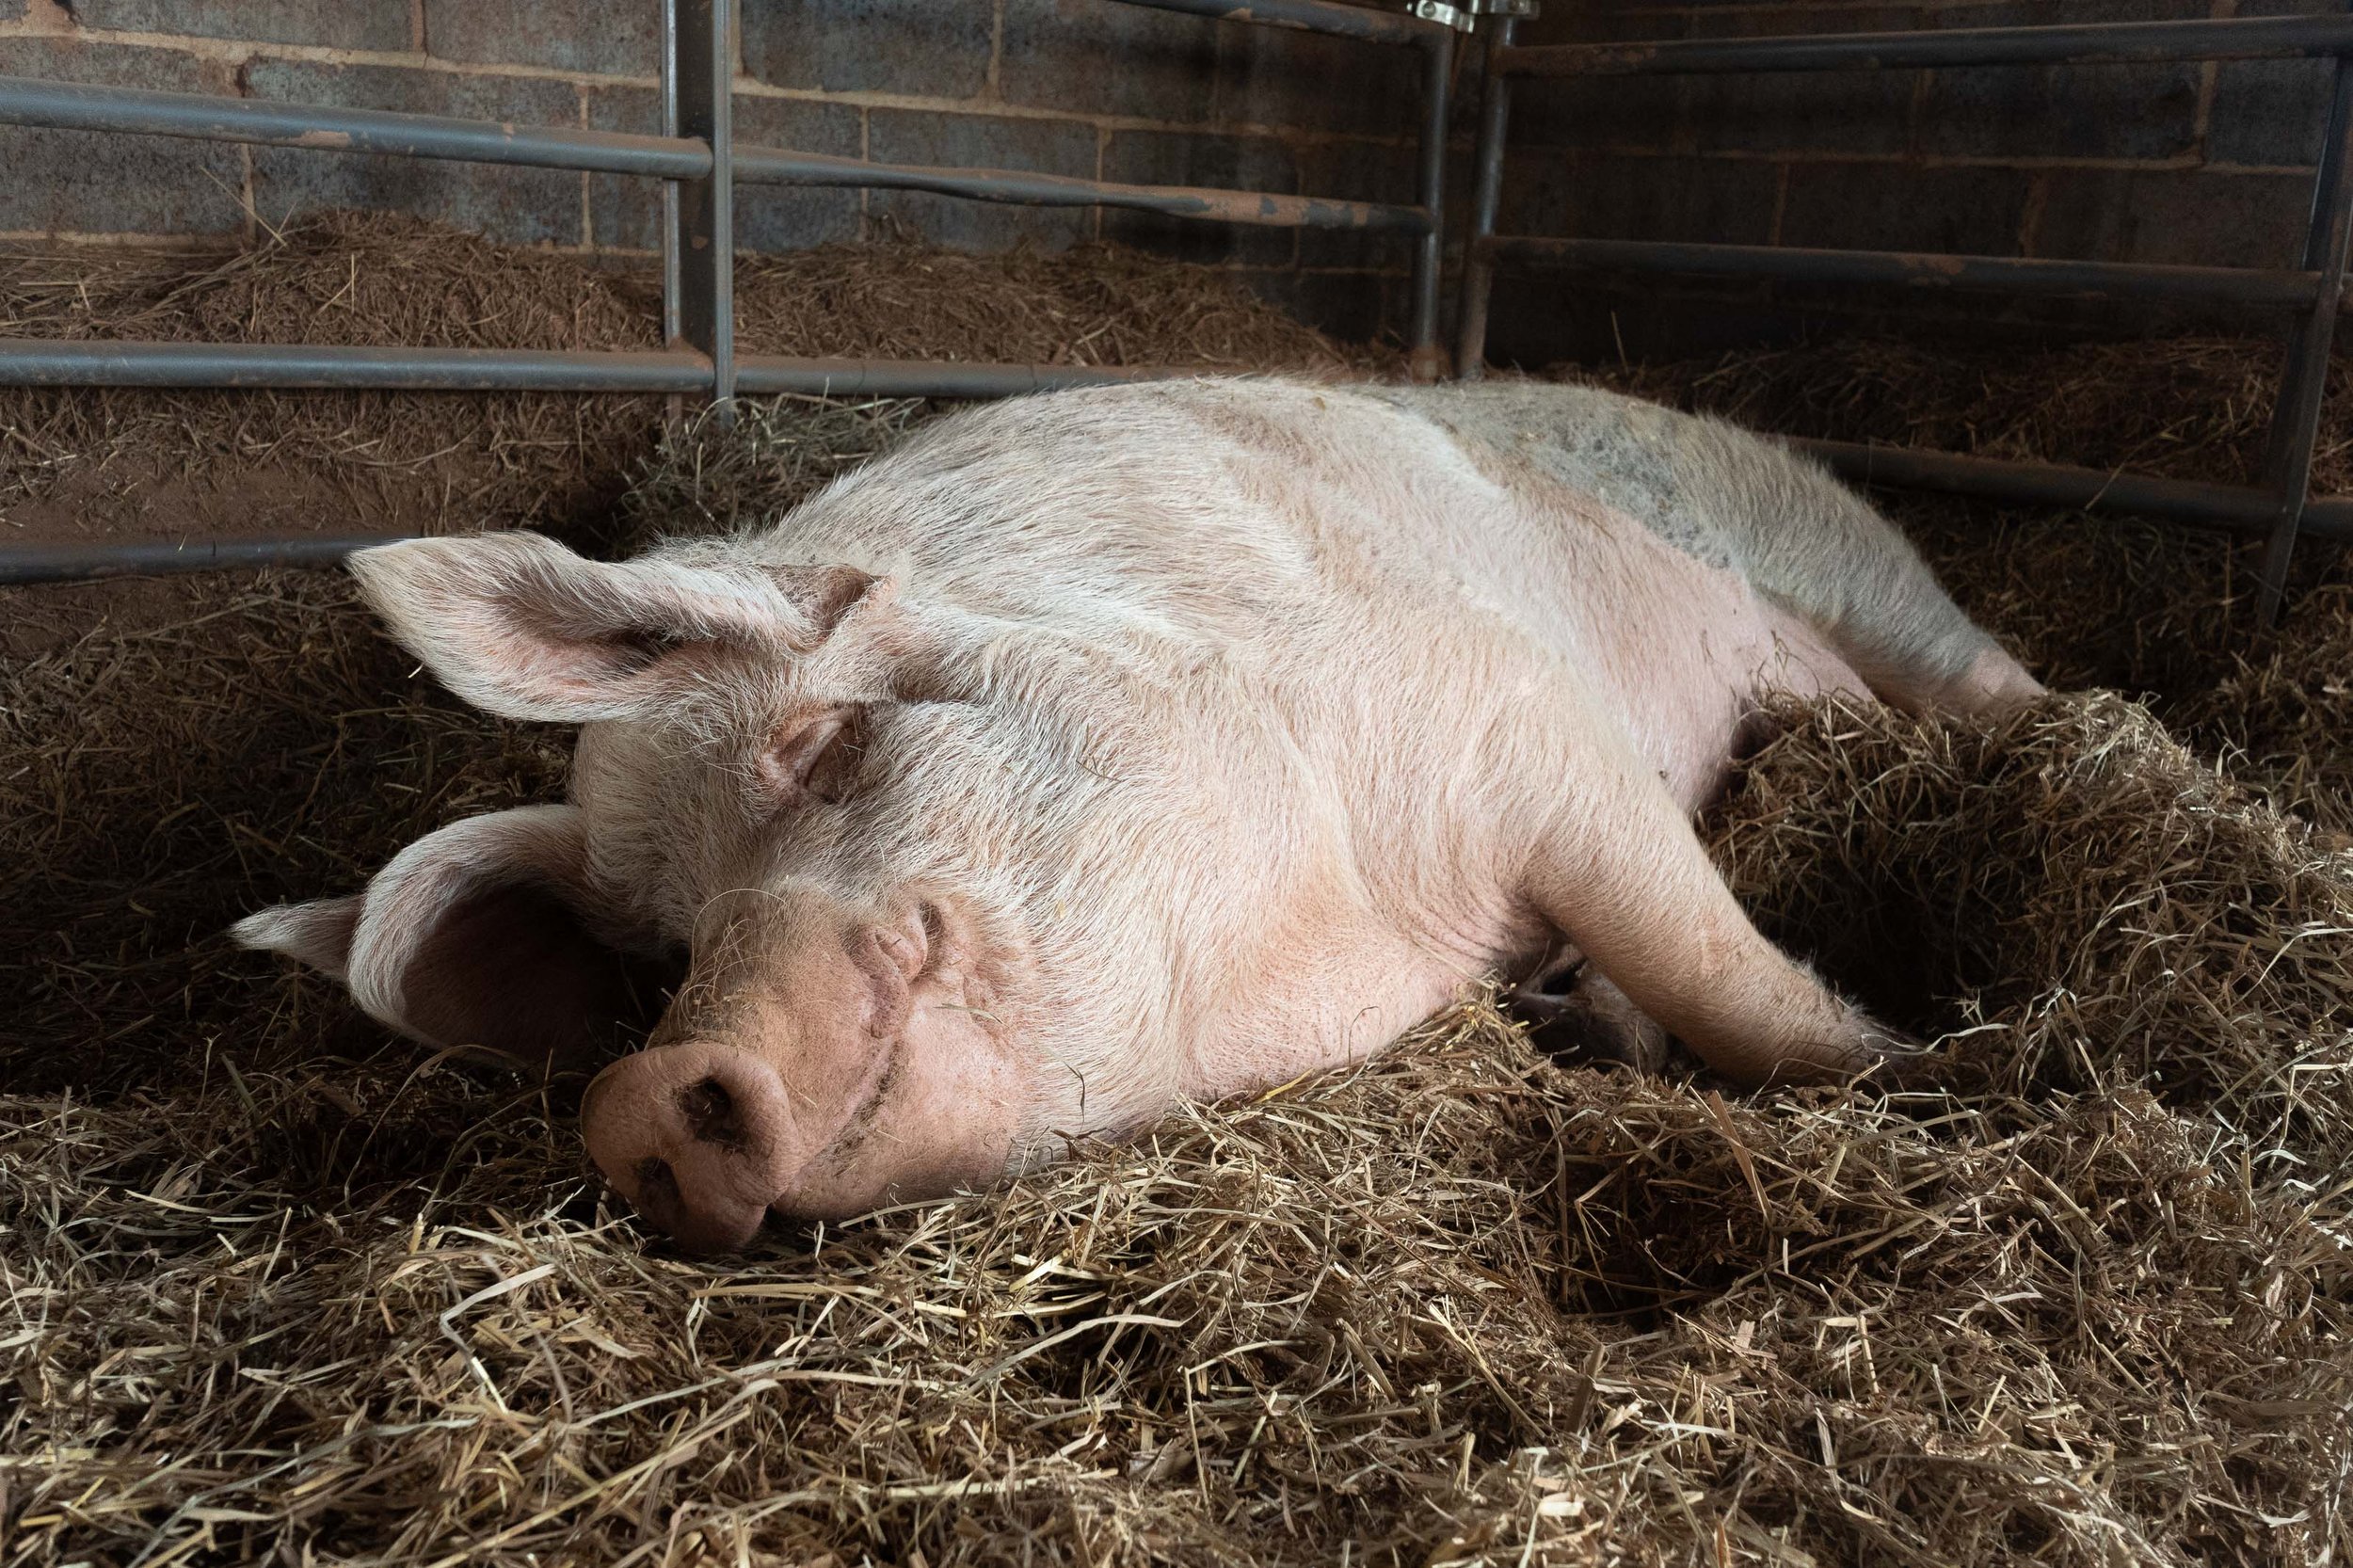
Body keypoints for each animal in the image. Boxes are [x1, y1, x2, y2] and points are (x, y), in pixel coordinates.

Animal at [233, 375, 2041, 1254]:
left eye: (824, 745)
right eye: (658, 953)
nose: (635, 1102)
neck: (1333, 958)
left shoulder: (1517, 719)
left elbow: (1715, 963)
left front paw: (1921, 1072)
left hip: (1853, 567)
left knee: (1985, 682)